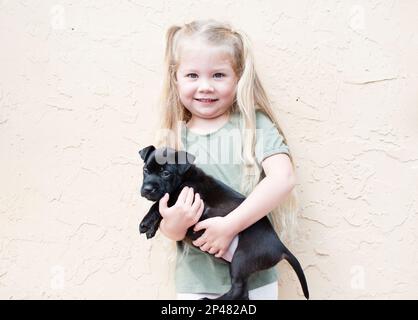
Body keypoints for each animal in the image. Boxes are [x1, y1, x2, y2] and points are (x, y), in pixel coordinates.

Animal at [139, 145, 308, 300]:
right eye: (145, 170)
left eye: (165, 173)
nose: (147, 189)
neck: (186, 178)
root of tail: (281, 247)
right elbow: (163, 202)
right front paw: (151, 227)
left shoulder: (187, 201)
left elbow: (161, 203)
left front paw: (146, 222)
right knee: (243, 292)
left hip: (242, 257)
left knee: (238, 289)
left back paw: (209, 300)